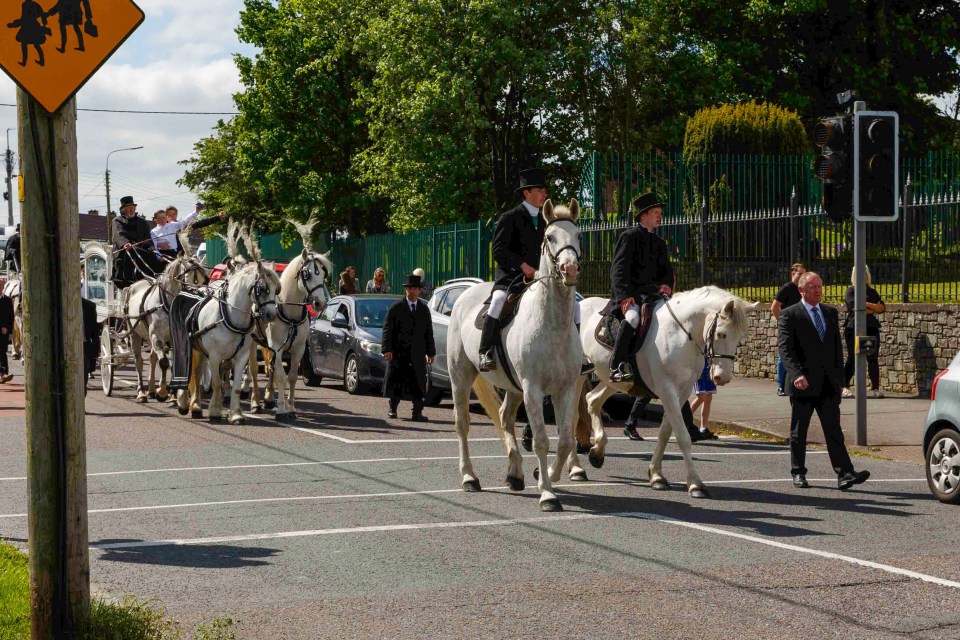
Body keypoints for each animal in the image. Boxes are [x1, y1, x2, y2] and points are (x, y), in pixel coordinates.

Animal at [125, 254, 210, 400]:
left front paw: (173, 395)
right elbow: (164, 363)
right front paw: (163, 392)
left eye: (204, 280)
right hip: (135, 334)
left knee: (152, 358)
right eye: (187, 281)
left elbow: (173, 363)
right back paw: (141, 391)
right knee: (139, 361)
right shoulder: (157, 336)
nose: (200, 300)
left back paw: (151, 389)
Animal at [176, 260, 282, 424]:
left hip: (201, 349)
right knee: (186, 370)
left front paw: (236, 414)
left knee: (197, 372)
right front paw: (215, 411)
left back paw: (196, 406)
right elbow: (216, 382)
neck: (230, 316)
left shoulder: (241, 356)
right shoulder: (214, 356)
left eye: (276, 289)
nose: (271, 315)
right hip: (187, 346)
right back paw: (182, 402)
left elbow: (237, 385)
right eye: (263, 289)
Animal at [248, 246, 334, 420]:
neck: (290, 312)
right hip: (253, 341)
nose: (320, 303)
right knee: (253, 369)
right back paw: (255, 403)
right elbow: (281, 375)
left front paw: (292, 408)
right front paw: (281, 409)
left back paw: (268, 398)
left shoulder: (299, 348)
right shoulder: (277, 347)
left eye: (323, 274)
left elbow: (292, 376)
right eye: (307, 274)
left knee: (271, 367)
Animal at [444, 198, 580, 512]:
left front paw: (547, 474)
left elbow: (565, 441)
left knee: (505, 417)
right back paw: (469, 477)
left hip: (513, 387)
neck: (552, 324)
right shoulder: (533, 389)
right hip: (461, 375)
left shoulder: (565, 389)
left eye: (578, 235)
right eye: (549, 237)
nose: (569, 269)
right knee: (462, 423)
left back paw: (515, 474)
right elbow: (541, 440)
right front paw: (548, 494)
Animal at [568, 288, 756, 498]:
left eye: (740, 336)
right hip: (575, 378)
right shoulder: (667, 389)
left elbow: (665, 433)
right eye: (722, 334)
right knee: (572, 418)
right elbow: (683, 437)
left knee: (592, 400)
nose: (722, 377)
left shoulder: (681, 392)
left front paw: (657, 476)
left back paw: (597, 452)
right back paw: (575, 469)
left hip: (613, 381)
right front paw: (695, 484)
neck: (679, 333)